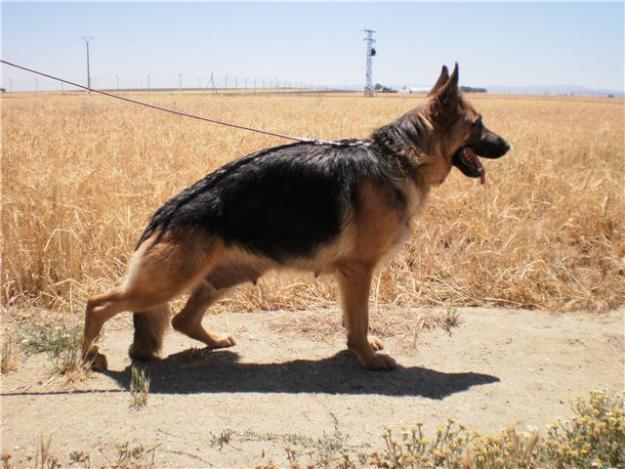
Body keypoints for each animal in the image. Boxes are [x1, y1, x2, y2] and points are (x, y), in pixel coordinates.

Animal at [81, 64, 508, 370]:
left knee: (181, 320)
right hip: (165, 284)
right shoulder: (358, 270)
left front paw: (361, 349)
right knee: (97, 304)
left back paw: (215, 341)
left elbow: (353, 319)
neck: (398, 155)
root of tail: (164, 213)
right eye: (478, 124)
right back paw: (89, 356)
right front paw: (369, 360)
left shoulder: (350, 276)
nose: (507, 145)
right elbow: (360, 320)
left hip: (219, 279)